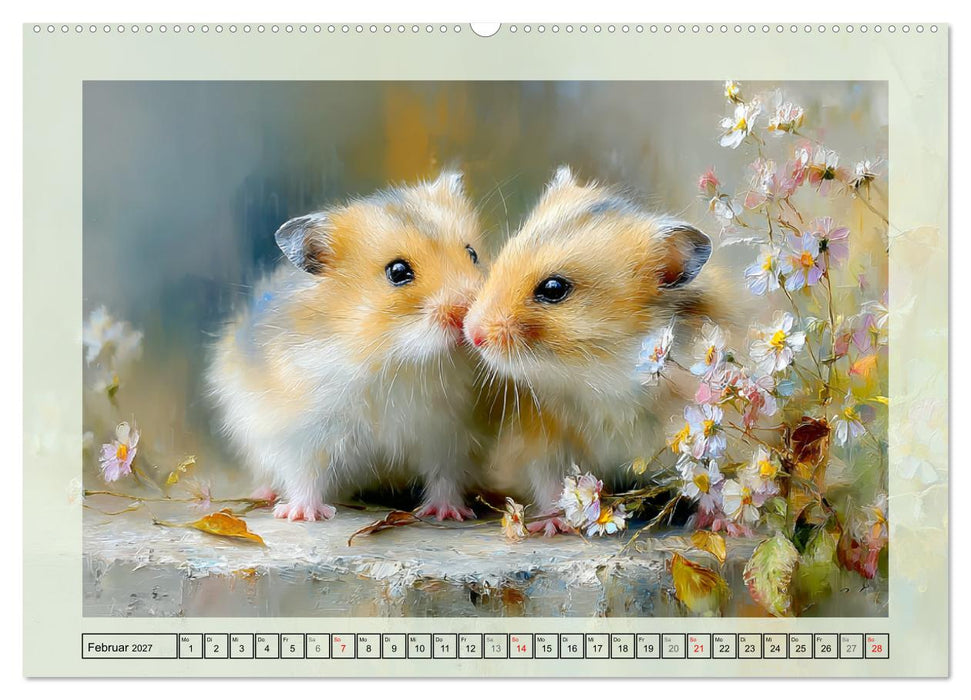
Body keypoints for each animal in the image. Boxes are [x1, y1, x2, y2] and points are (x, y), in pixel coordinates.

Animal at [208, 171, 485, 521]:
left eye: (473, 254)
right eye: (398, 272)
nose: (467, 312)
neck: (397, 359)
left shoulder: (449, 433)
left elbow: (445, 475)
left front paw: (449, 513)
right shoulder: (300, 434)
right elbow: (304, 474)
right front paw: (302, 515)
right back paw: (265, 495)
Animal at [463, 166, 727, 530]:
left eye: (554, 289)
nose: (471, 333)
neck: (602, 377)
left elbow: (712, 480)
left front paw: (717, 524)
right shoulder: (540, 441)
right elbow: (550, 483)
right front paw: (552, 526)